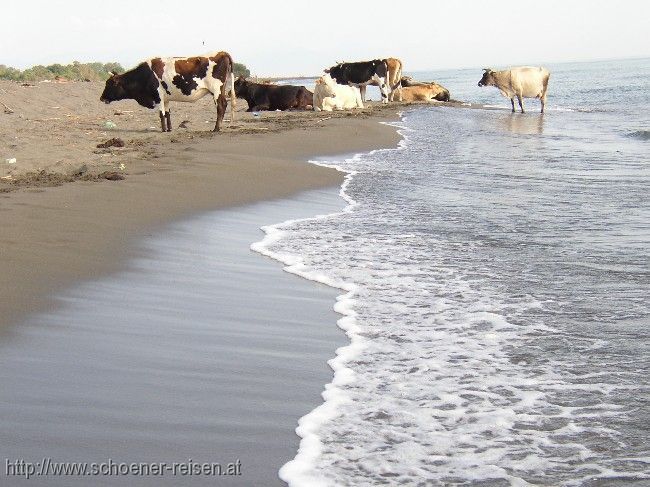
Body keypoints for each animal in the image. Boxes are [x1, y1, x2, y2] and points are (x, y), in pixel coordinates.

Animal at [100, 51, 235, 132]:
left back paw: (216, 128)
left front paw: (163, 130)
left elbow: (161, 114)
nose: (101, 98)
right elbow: (168, 113)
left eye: (109, 84)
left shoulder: (158, 95)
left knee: (221, 106)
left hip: (216, 90)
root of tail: (221, 52)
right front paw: (169, 129)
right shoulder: (166, 98)